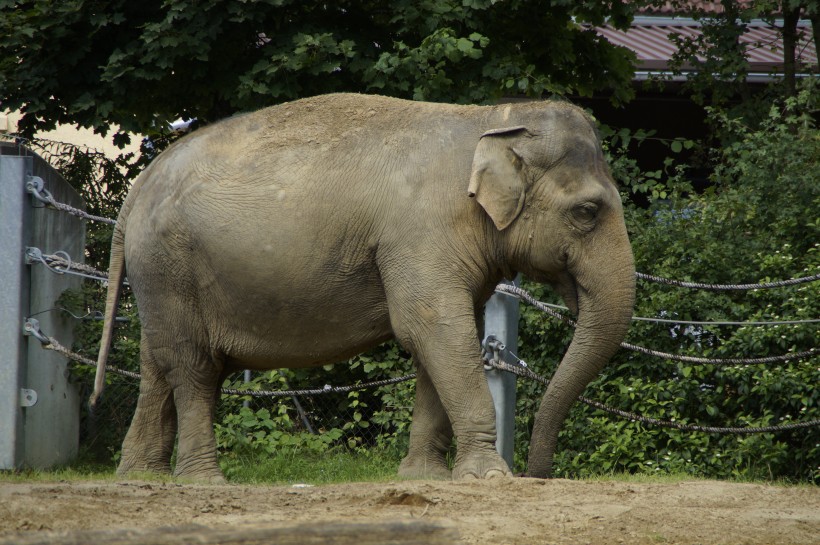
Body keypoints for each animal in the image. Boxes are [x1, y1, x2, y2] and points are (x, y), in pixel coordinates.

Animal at [93, 92, 636, 480]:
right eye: (587, 212)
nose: (538, 475)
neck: (494, 117)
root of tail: (140, 185)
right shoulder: (420, 234)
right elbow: (436, 328)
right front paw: (489, 477)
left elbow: (440, 339)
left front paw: (423, 479)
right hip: (169, 266)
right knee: (194, 368)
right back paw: (203, 480)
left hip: (158, 276)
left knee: (157, 364)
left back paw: (139, 477)